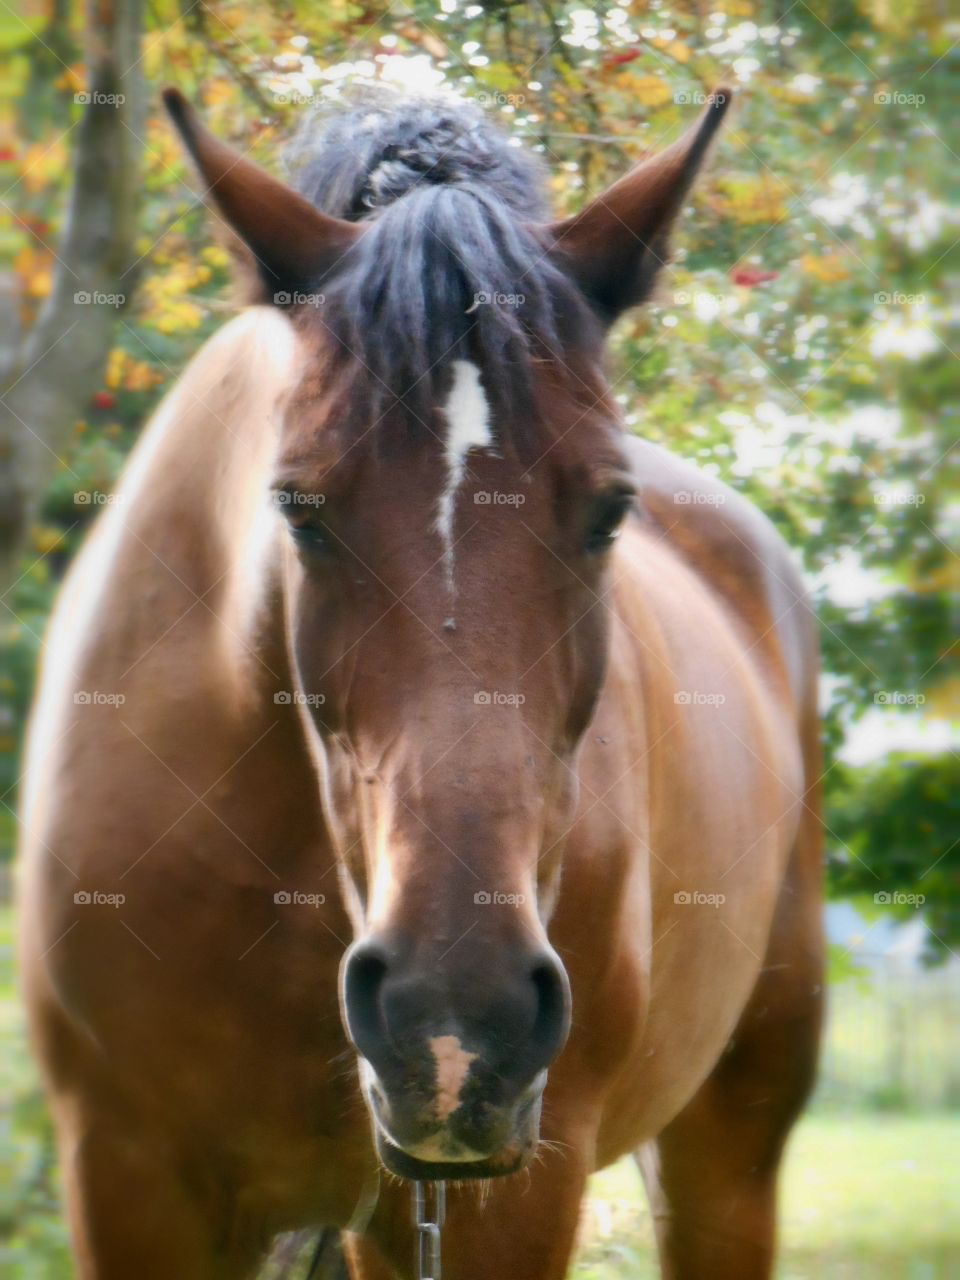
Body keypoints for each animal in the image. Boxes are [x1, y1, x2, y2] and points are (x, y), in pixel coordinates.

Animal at [18, 90, 824, 1280]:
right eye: (298, 506)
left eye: (610, 509)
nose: (458, 1020)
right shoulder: (128, 1180)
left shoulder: (506, 1201)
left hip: (729, 1153)